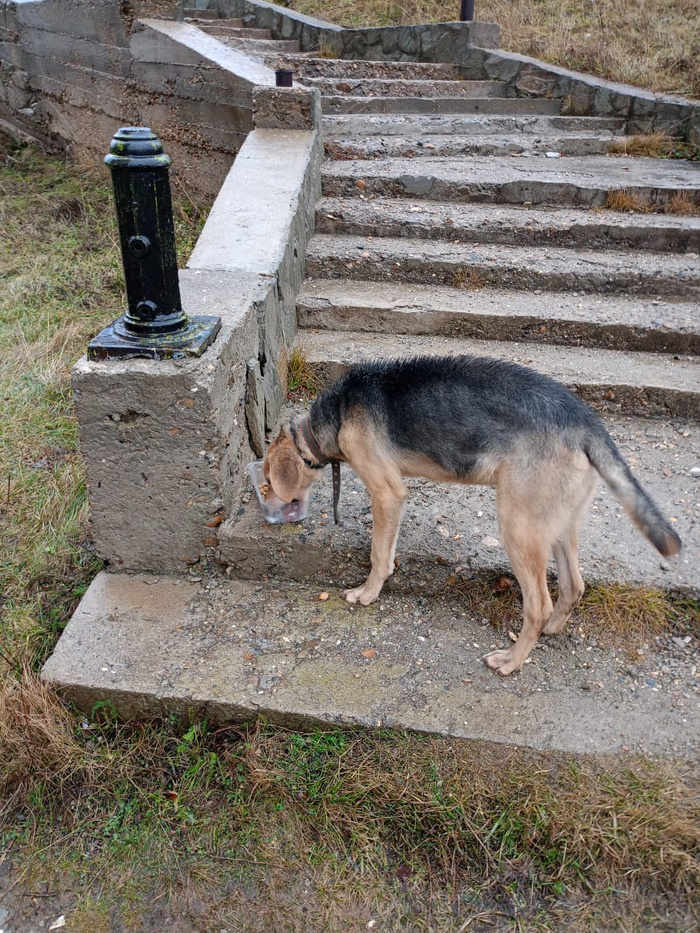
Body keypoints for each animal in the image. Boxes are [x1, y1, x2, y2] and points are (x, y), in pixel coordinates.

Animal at [263, 355, 681, 676]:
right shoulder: (393, 500)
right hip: (559, 523)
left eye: (266, 481)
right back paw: (552, 629)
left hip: (518, 527)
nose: (266, 509)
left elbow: (378, 554)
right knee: (574, 587)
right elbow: (389, 549)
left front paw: (367, 593)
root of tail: (587, 423)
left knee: (538, 605)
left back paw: (512, 661)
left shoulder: (386, 492)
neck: (333, 416)